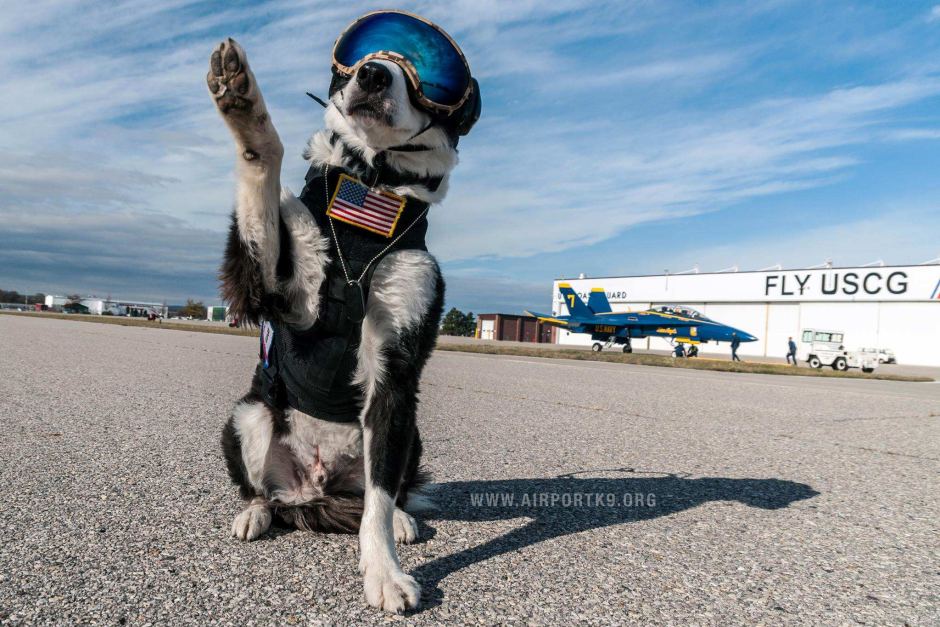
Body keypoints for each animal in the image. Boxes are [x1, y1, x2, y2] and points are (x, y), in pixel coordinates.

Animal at [208, 15, 478, 612]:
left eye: (430, 72)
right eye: (362, 52)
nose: (374, 74)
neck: (369, 190)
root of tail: (315, 483)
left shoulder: (396, 367)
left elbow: (378, 498)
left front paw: (383, 571)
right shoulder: (270, 288)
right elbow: (263, 167)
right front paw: (242, 100)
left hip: (409, 429)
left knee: (385, 486)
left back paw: (400, 519)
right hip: (249, 413)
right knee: (262, 490)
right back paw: (256, 511)